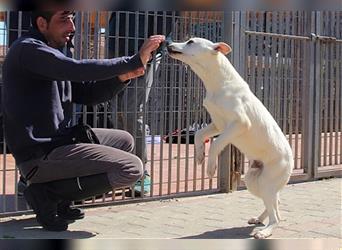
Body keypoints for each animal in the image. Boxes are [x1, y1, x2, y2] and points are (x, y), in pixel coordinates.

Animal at [167, 37, 292, 238]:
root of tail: (291, 161)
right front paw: (199, 155)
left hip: (267, 182)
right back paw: (259, 219)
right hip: (254, 180)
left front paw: (211, 168)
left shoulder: (239, 124)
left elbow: (216, 143)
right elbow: (199, 135)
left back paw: (265, 231)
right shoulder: (217, 124)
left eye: (190, 41)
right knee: (275, 203)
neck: (218, 83)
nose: (168, 44)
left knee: (276, 216)